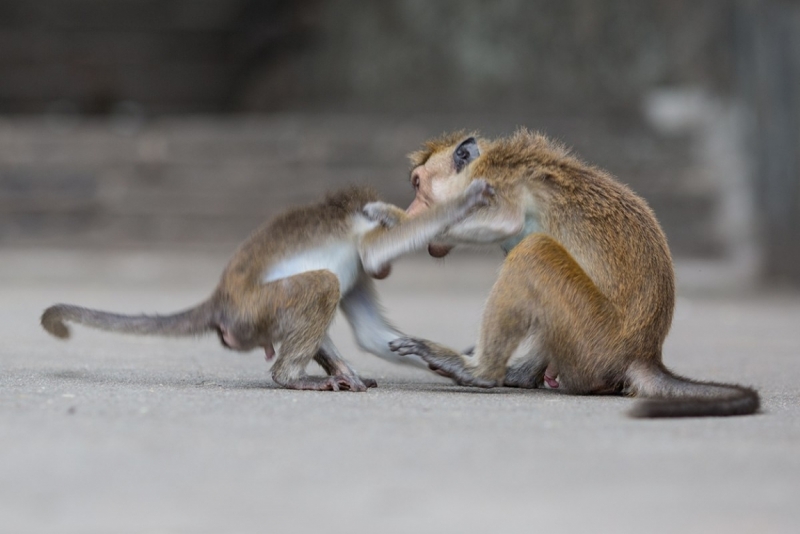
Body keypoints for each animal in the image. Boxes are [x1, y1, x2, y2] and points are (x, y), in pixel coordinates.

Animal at [43, 182, 496, 396]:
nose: (385, 274)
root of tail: (220, 301)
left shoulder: (360, 276)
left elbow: (372, 335)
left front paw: (452, 363)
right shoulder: (362, 244)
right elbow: (372, 251)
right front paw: (468, 201)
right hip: (254, 310)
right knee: (322, 283)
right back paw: (291, 377)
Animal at [390, 129, 760, 418]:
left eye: (417, 184)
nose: (411, 209)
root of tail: (643, 353)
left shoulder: (496, 182)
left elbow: (507, 221)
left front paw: (395, 225)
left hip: (595, 338)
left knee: (533, 252)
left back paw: (482, 371)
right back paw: (520, 374)